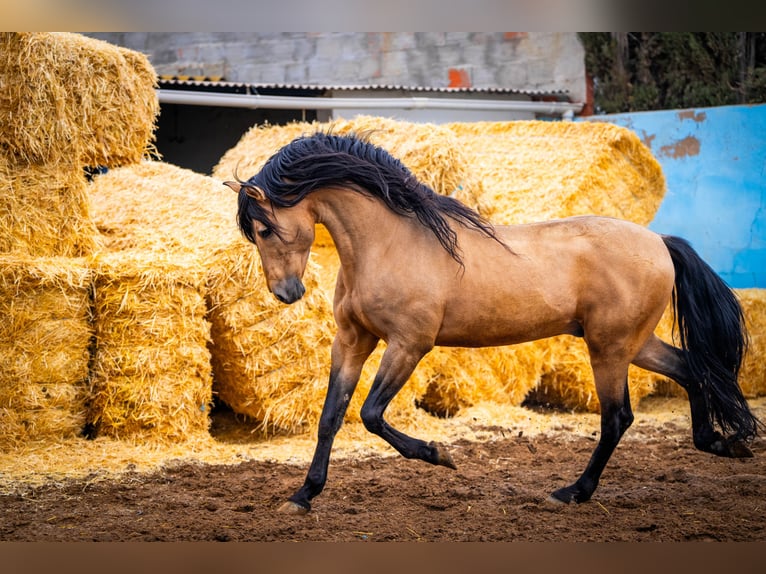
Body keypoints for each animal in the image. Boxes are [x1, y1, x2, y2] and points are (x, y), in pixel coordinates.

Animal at [225, 132, 764, 516]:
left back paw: (572, 492)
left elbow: (372, 414)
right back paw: (720, 443)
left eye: (265, 227)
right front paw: (302, 496)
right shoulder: (353, 340)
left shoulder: (408, 344)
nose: (287, 293)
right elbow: (331, 417)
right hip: (634, 343)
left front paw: (439, 454)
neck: (390, 242)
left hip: (609, 348)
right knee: (692, 370)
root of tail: (659, 241)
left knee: (617, 418)